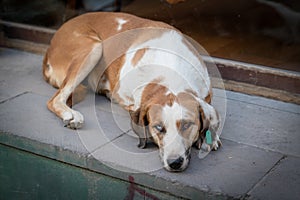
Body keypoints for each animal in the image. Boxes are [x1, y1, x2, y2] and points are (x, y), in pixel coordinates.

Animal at [42, 12, 221, 172]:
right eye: (158, 127)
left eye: (186, 125)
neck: (172, 73)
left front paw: (210, 137)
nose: (174, 162)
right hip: (94, 48)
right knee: (54, 100)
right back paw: (71, 114)